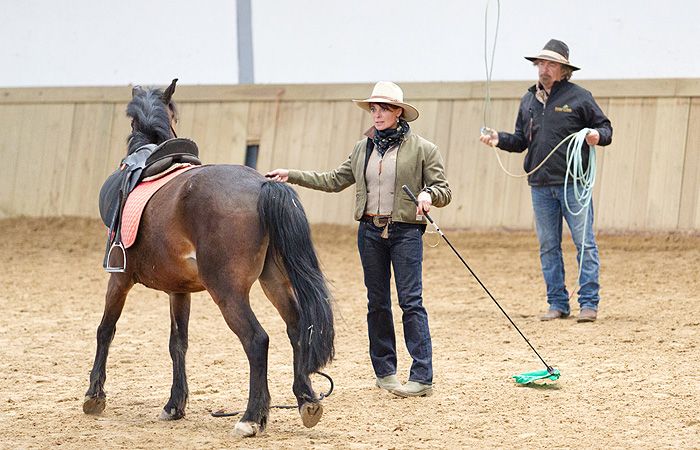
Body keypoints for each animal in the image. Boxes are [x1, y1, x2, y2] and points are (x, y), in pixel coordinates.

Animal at [83, 80, 334, 436]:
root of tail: (262, 185)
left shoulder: (118, 278)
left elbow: (106, 329)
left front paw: (94, 396)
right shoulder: (179, 291)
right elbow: (178, 343)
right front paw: (174, 405)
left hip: (227, 291)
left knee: (257, 340)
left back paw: (250, 418)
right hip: (272, 280)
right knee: (297, 327)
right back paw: (306, 401)